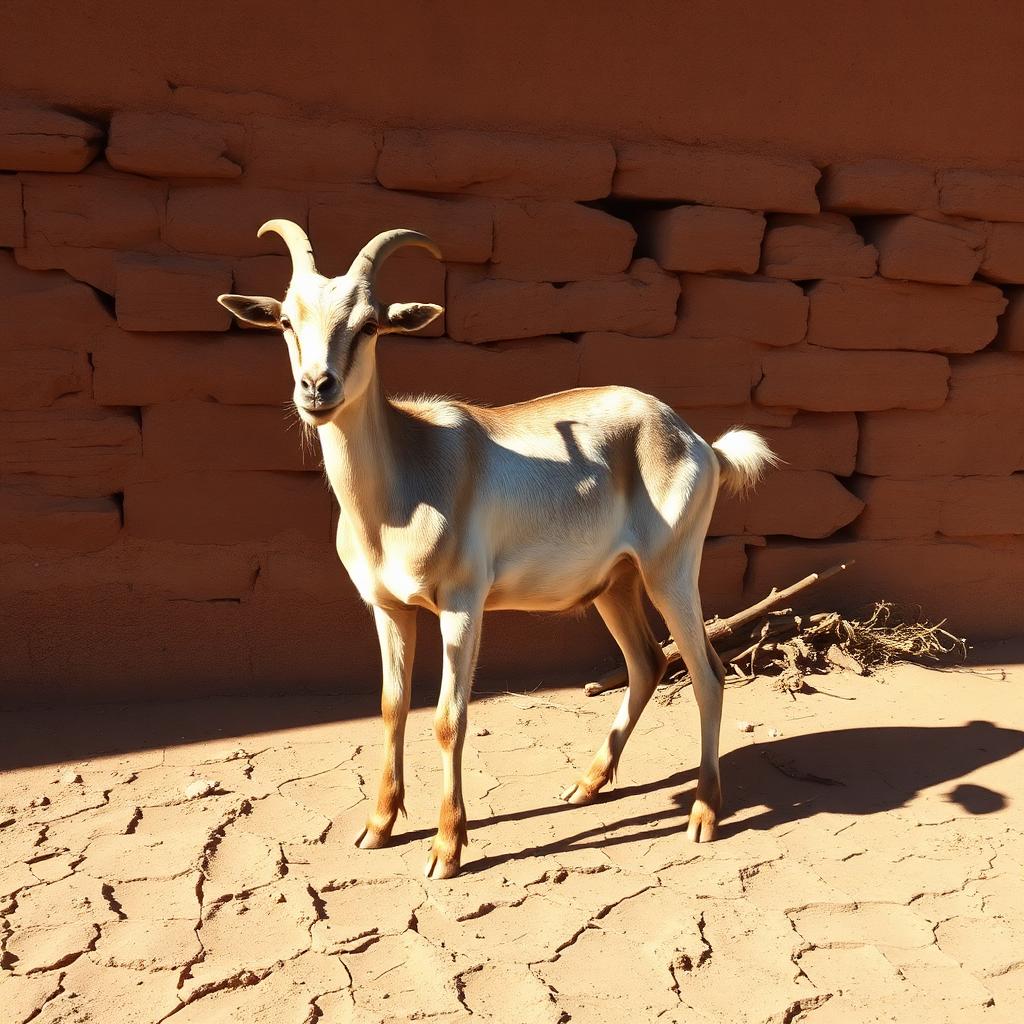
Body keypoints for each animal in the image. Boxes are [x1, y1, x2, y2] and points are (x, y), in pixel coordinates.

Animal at [218, 221, 776, 879]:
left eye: (369, 324)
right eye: (285, 320)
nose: (316, 388)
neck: (409, 474)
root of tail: (698, 441)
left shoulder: (462, 606)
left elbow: (448, 720)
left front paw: (446, 848)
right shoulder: (389, 609)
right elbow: (390, 706)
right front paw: (378, 826)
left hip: (670, 574)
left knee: (706, 674)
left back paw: (704, 814)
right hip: (614, 585)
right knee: (648, 662)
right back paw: (586, 784)